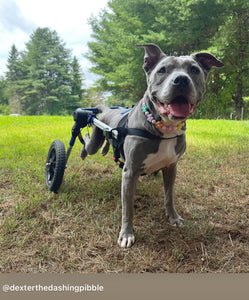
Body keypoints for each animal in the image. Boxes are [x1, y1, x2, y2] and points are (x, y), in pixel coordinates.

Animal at [80, 44, 224, 248]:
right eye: (162, 70)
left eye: (194, 70)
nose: (181, 80)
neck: (165, 127)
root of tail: (108, 109)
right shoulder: (130, 172)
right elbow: (128, 208)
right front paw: (127, 234)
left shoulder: (171, 167)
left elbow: (169, 196)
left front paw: (173, 218)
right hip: (95, 137)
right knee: (87, 142)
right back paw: (84, 142)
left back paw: (105, 148)